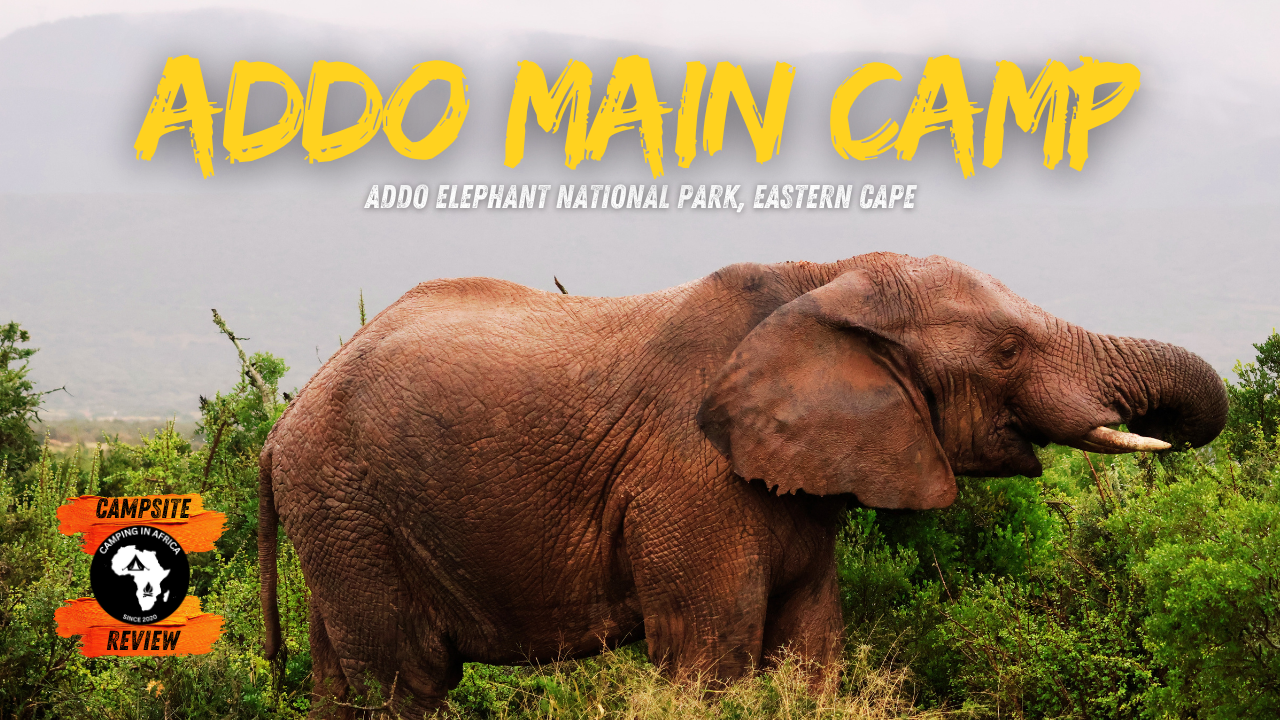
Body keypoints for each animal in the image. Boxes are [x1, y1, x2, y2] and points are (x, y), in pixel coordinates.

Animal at [257, 252, 1227, 716]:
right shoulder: (690, 476)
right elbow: (712, 655)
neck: (821, 279)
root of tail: (277, 430)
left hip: (339, 519)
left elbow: (811, 647)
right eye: (1009, 349)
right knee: (407, 683)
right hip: (349, 503)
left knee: (342, 685)